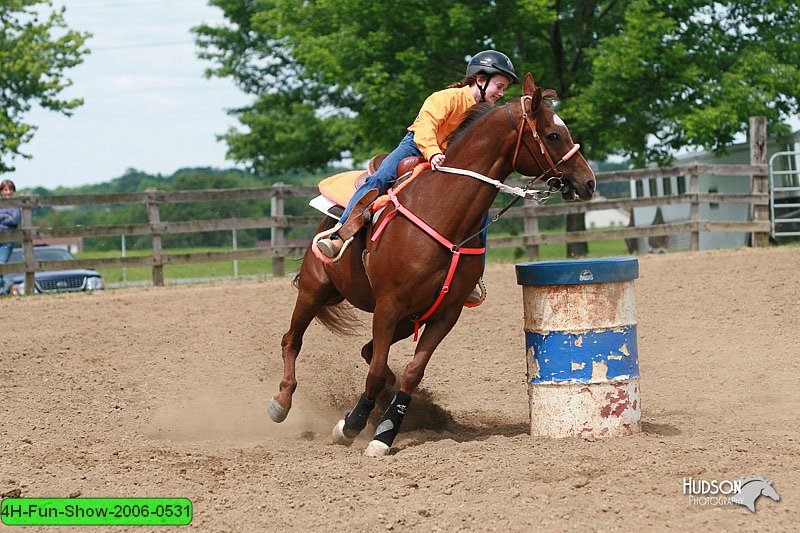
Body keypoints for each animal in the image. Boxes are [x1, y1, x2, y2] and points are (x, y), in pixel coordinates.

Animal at [268, 72, 592, 456]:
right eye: (553, 134)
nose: (588, 182)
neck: (443, 211)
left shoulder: (445, 313)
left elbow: (411, 371)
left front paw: (384, 432)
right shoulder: (389, 305)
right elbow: (375, 373)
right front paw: (352, 424)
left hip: (409, 317)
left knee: (368, 352)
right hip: (316, 289)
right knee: (293, 340)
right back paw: (281, 402)